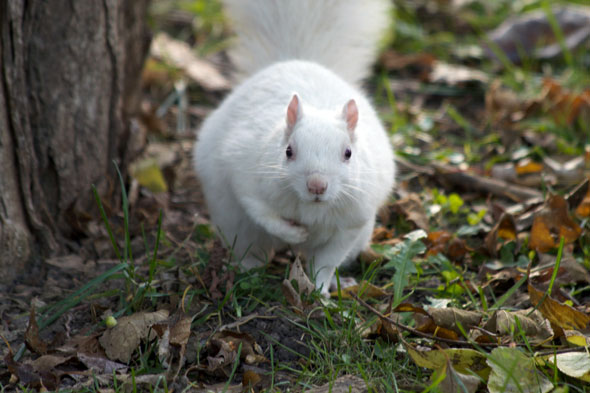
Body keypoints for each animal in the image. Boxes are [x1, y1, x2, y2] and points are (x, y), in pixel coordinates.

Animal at [195, 0, 398, 294]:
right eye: (289, 151)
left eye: (348, 153)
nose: (317, 186)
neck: (311, 207)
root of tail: (295, 60)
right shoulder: (247, 176)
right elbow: (260, 211)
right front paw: (295, 233)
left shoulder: (352, 222)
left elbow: (327, 261)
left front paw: (320, 290)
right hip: (235, 225)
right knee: (250, 247)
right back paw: (247, 271)